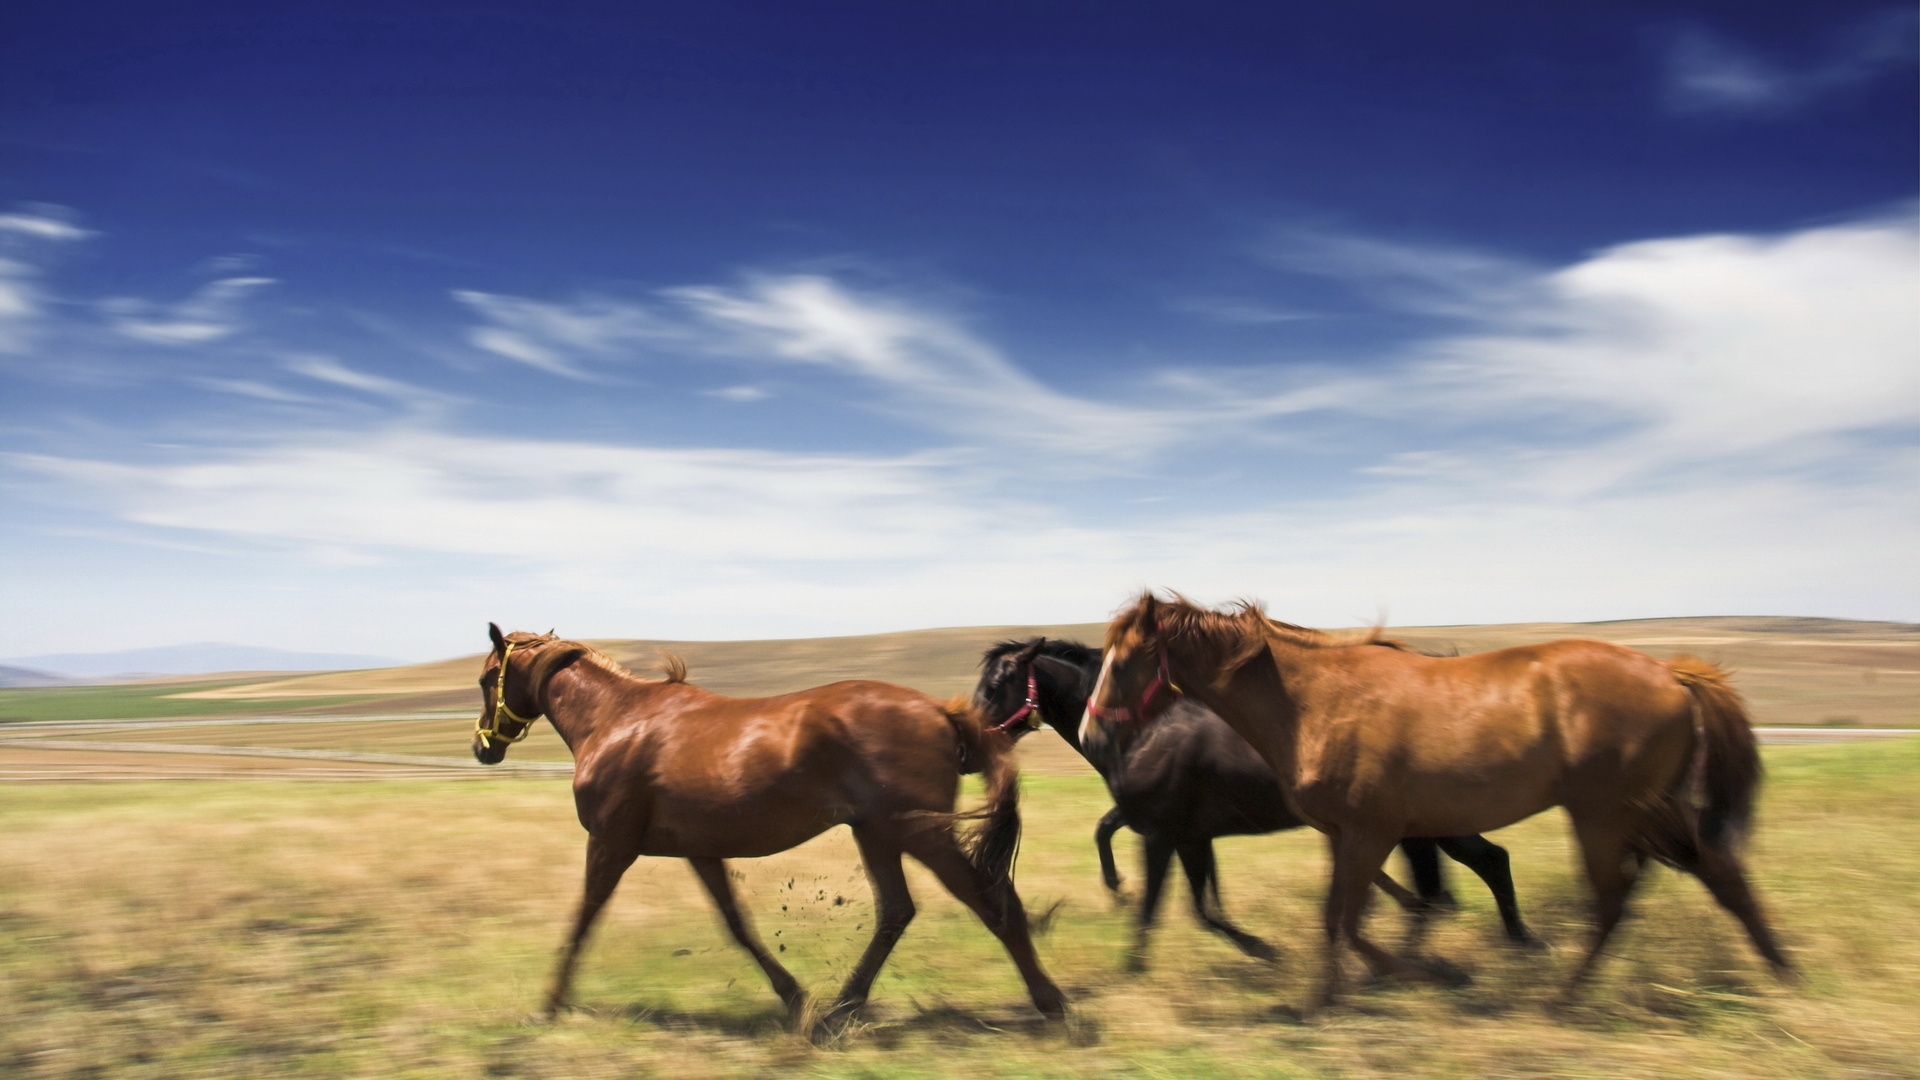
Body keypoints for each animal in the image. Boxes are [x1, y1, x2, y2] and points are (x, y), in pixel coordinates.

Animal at [464, 618, 1067, 1022]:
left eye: (486, 678)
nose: (482, 747)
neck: (614, 722)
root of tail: (940, 710)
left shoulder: (611, 843)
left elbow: (583, 918)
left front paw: (549, 1003)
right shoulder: (699, 849)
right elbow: (737, 925)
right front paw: (796, 999)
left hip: (920, 832)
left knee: (991, 901)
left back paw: (1051, 1003)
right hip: (877, 832)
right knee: (898, 911)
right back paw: (841, 1008)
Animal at [975, 634, 1528, 960]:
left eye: (996, 684)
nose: (971, 733)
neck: (1146, 727)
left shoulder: (1162, 833)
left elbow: (1161, 907)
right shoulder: (1188, 834)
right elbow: (1202, 904)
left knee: (1469, 871)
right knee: (1469, 870)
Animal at [1075, 591, 1789, 1006]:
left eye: (1124, 660)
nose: (1091, 734)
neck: (1311, 703)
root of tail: (1671, 675)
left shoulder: (1372, 832)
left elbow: (1354, 920)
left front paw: (1429, 975)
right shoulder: (1348, 836)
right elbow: (1343, 917)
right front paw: (1330, 996)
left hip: (1607, 814)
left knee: (1615, 899)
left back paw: (1561, 997)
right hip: (1648, 812)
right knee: (1717, 874)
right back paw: (1782, 973)